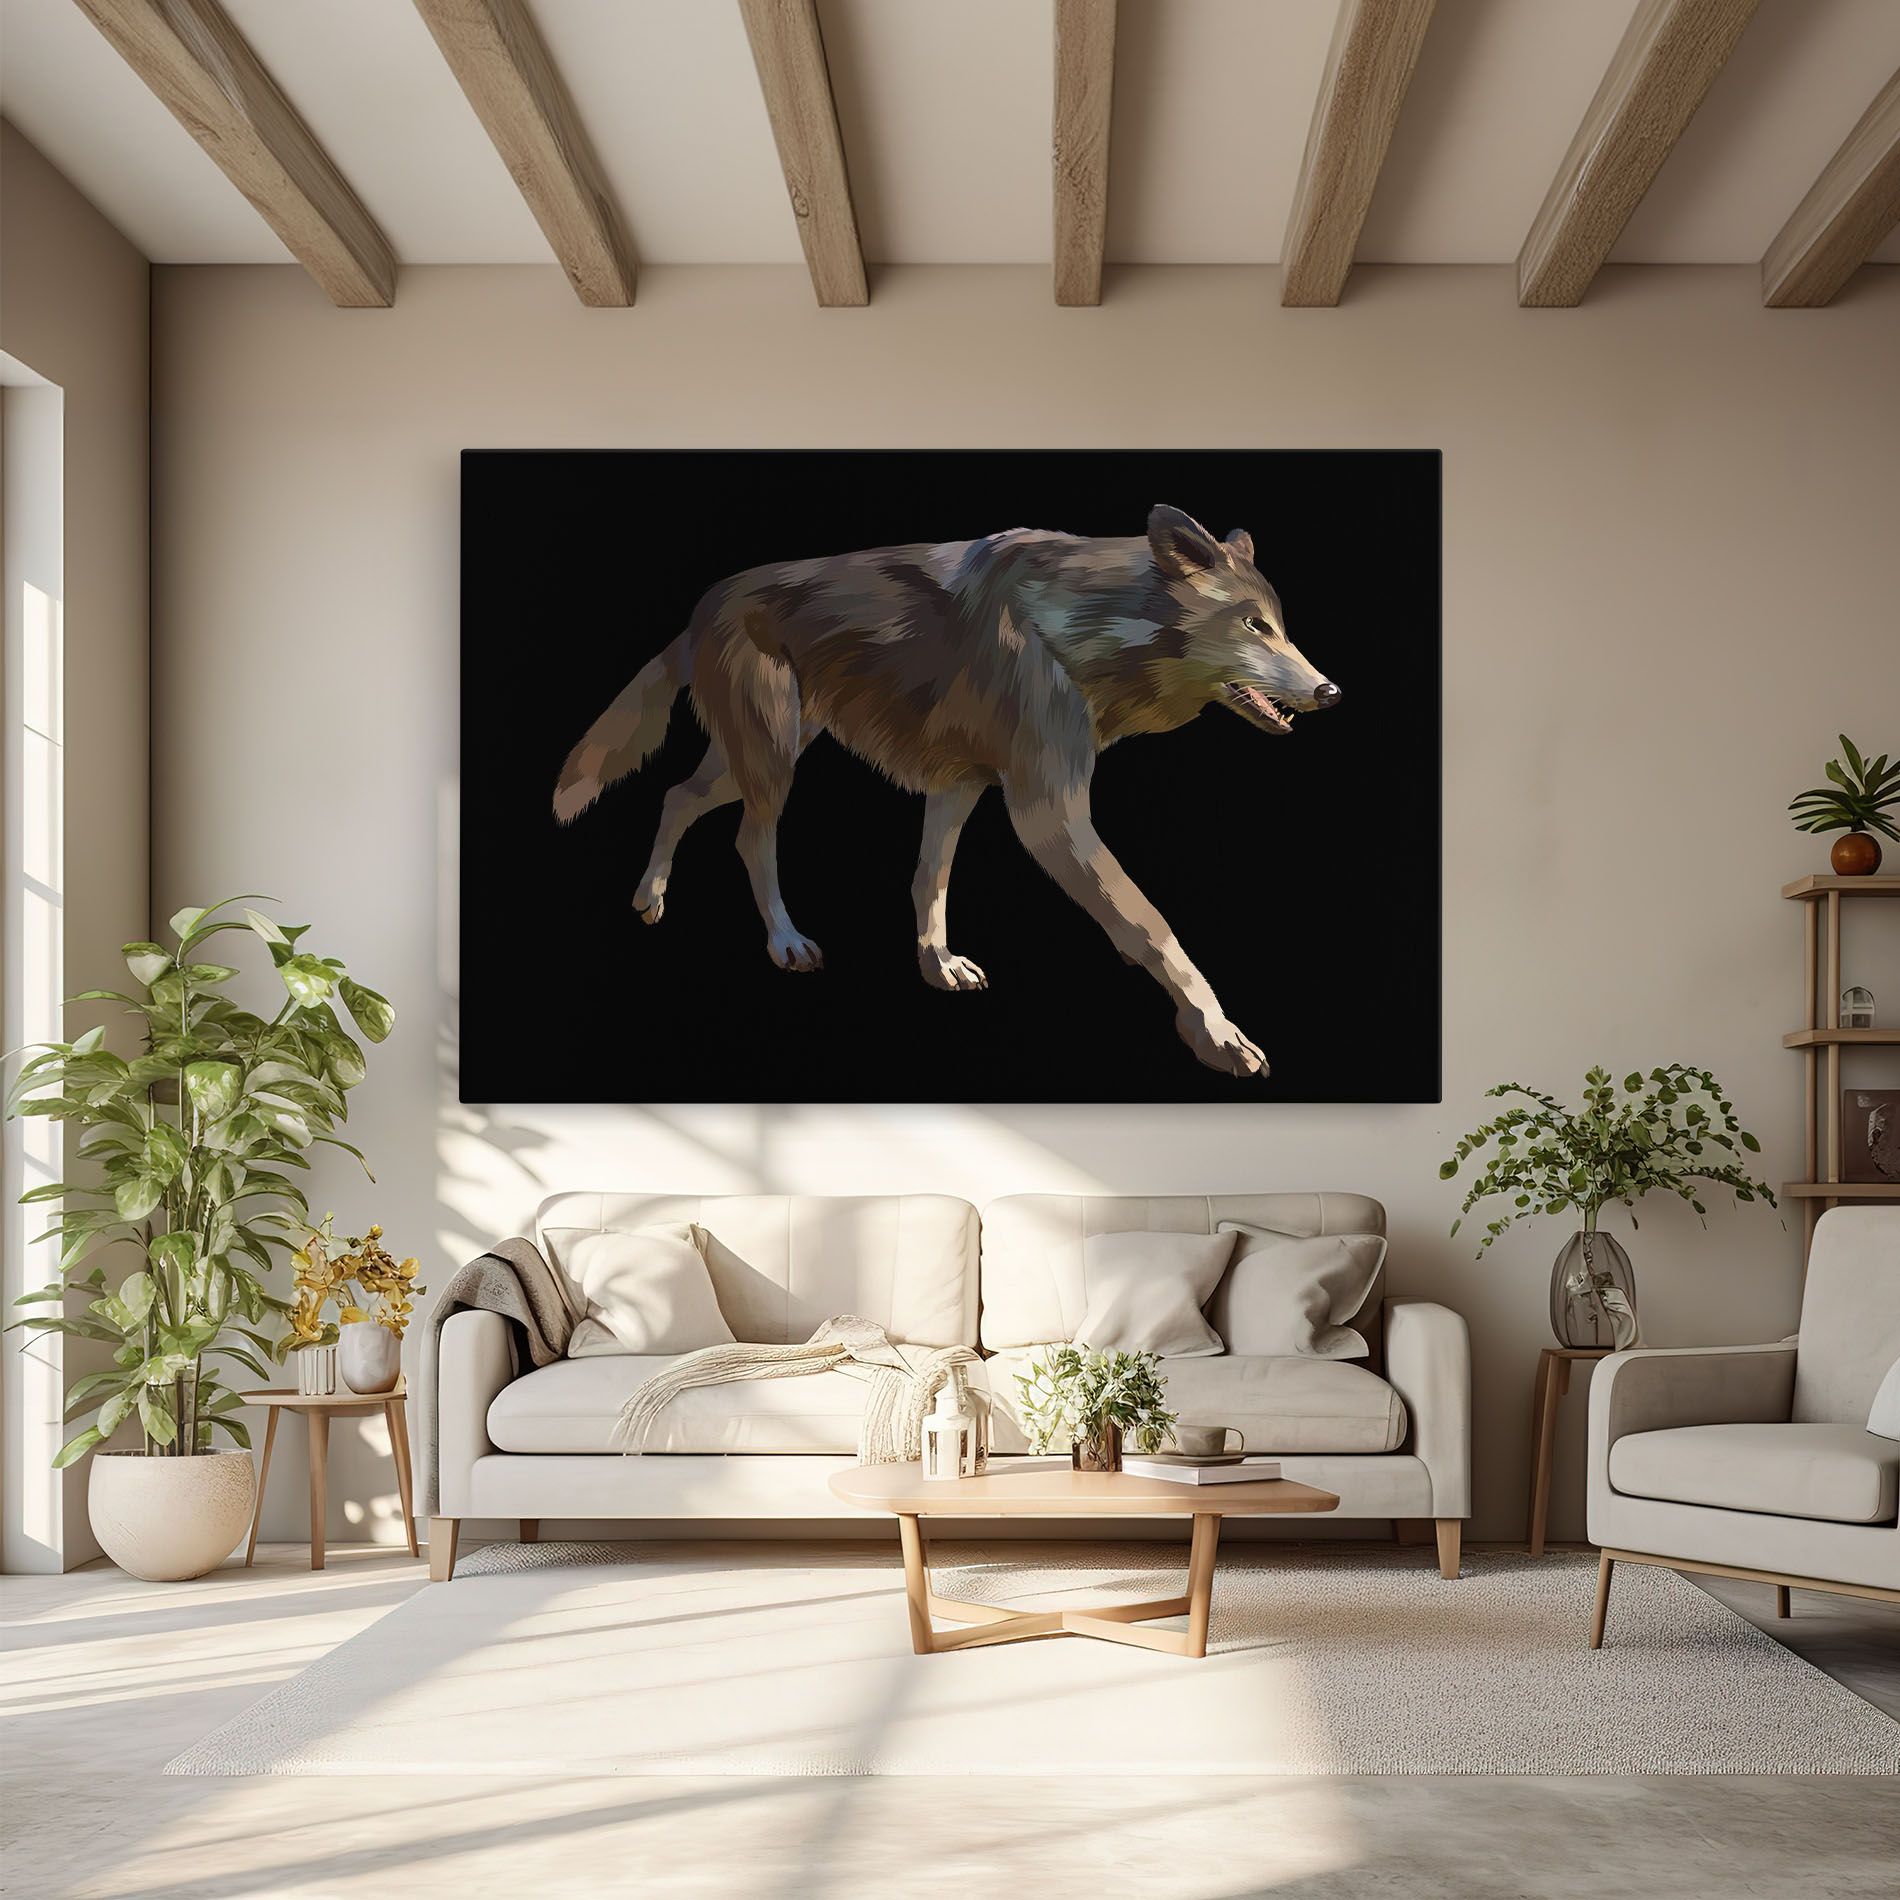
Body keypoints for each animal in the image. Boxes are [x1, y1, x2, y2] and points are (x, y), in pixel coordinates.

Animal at [553, 504, 1340, 1076]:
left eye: (1283, 628)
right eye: (1254, 625)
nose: (1330, 692)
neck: (1082, 629)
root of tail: (704, 601)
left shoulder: (958, 786)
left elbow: (930, 880)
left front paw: (937, 966)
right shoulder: (1046, 813)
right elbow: (1152, 925)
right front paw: (1217, 1034)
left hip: (756, 756)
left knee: (677, 795)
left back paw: (650, 899)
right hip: (773, 761)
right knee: (749, 837)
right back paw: (784, 942)